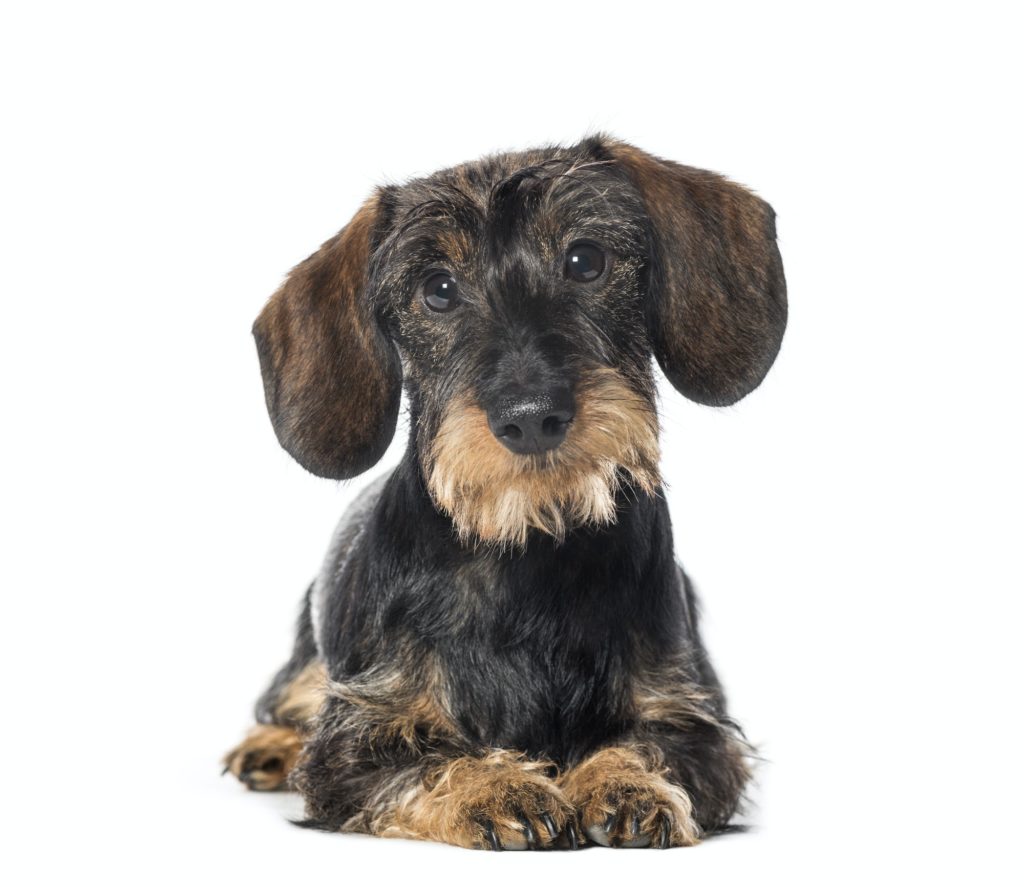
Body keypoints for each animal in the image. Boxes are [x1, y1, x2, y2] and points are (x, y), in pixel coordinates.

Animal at [222, 133, 782, 852]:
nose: (531, 415)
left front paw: (627, 783)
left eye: (585, 259)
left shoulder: (696, 722)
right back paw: (267, 747)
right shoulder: (357, 738)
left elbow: (656, 744)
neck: (529, 543)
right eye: (437, 290)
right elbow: (427, 756)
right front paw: (498, 787)